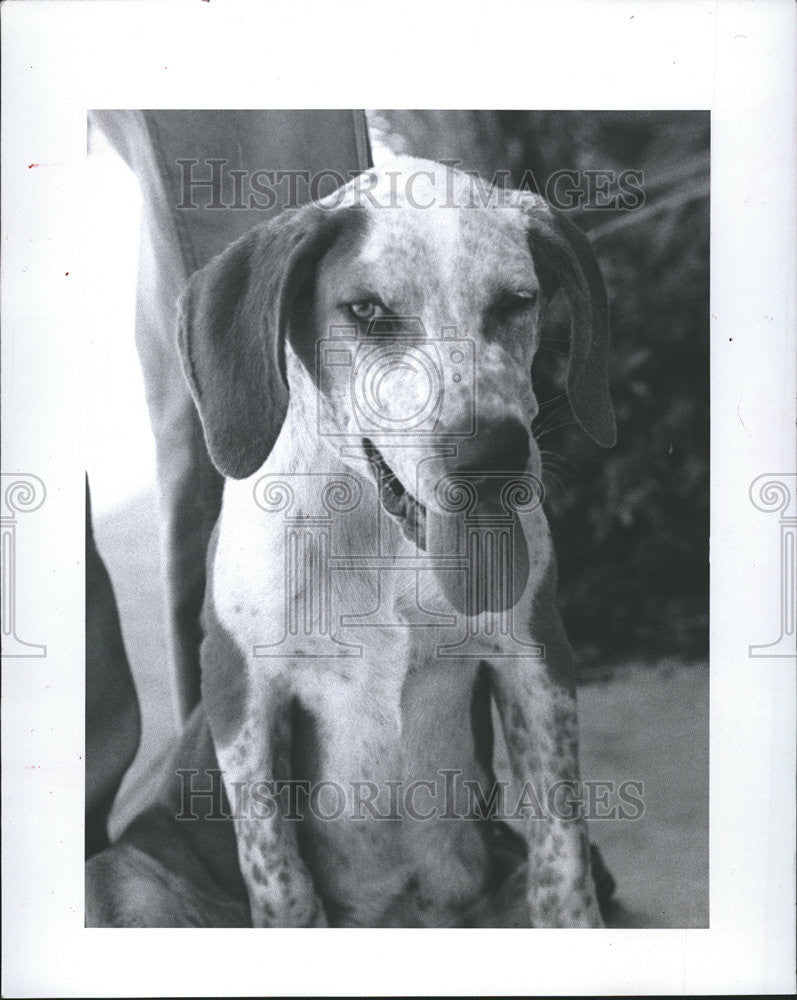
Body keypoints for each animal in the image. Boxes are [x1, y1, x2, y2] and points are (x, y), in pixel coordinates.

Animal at [177, 158, 620, 928]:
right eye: (366, 312)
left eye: (515, 302)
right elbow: (281, 880)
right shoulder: (239, 684)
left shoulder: (537, 660)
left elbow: (562, 865)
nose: (491, 456)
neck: (381, 536)